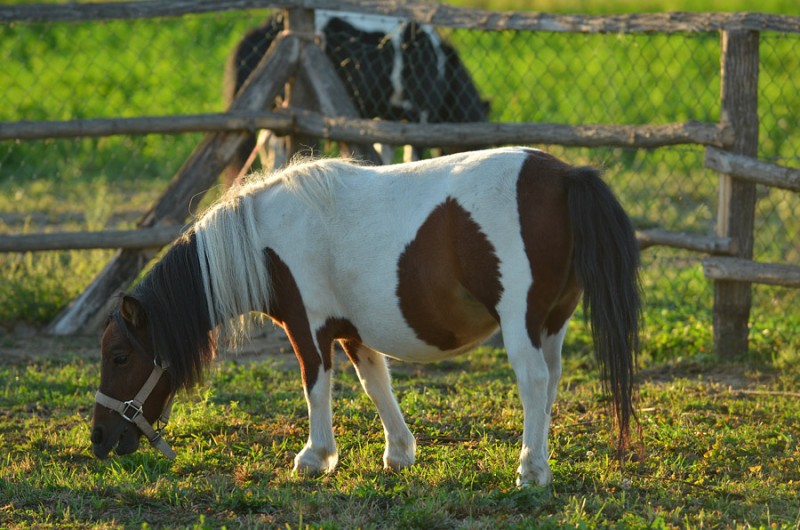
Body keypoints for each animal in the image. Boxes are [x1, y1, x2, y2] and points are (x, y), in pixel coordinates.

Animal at [90, 147, 641, 487]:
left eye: (118, 356)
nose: (98, 440)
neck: (264, 237)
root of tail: (566, 176)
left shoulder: (308, 326)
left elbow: (316, 386)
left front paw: (315, 458)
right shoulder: (352, 330)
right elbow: (376, 383)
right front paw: (398, 454)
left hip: (521, 321)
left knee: (532, 381)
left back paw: (529, 471)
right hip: (552, 323)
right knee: (550, 384)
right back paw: (539, 463)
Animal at [223, 11, 489, 181]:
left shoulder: (389, 119)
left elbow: (387, 153)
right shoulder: (418, 114)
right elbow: (412, 155)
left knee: (268, 148)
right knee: (276, 148)